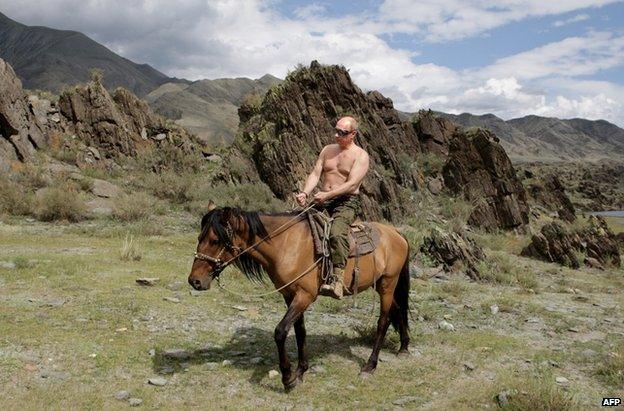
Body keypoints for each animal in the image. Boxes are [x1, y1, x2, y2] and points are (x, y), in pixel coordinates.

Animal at [186, 208, 410, 392]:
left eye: (215, 240)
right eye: (199, 237)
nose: (194, 281)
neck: (285, 245)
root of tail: (396, 233)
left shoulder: (305, 295)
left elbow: (280, 331)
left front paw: (287, 378)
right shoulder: (290, 295)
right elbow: (300, 331)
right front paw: (301, 371)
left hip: (387, 283)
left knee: (383, 321)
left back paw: (370, 365)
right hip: (381, 284)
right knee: (398, 310)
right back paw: (404, 347)